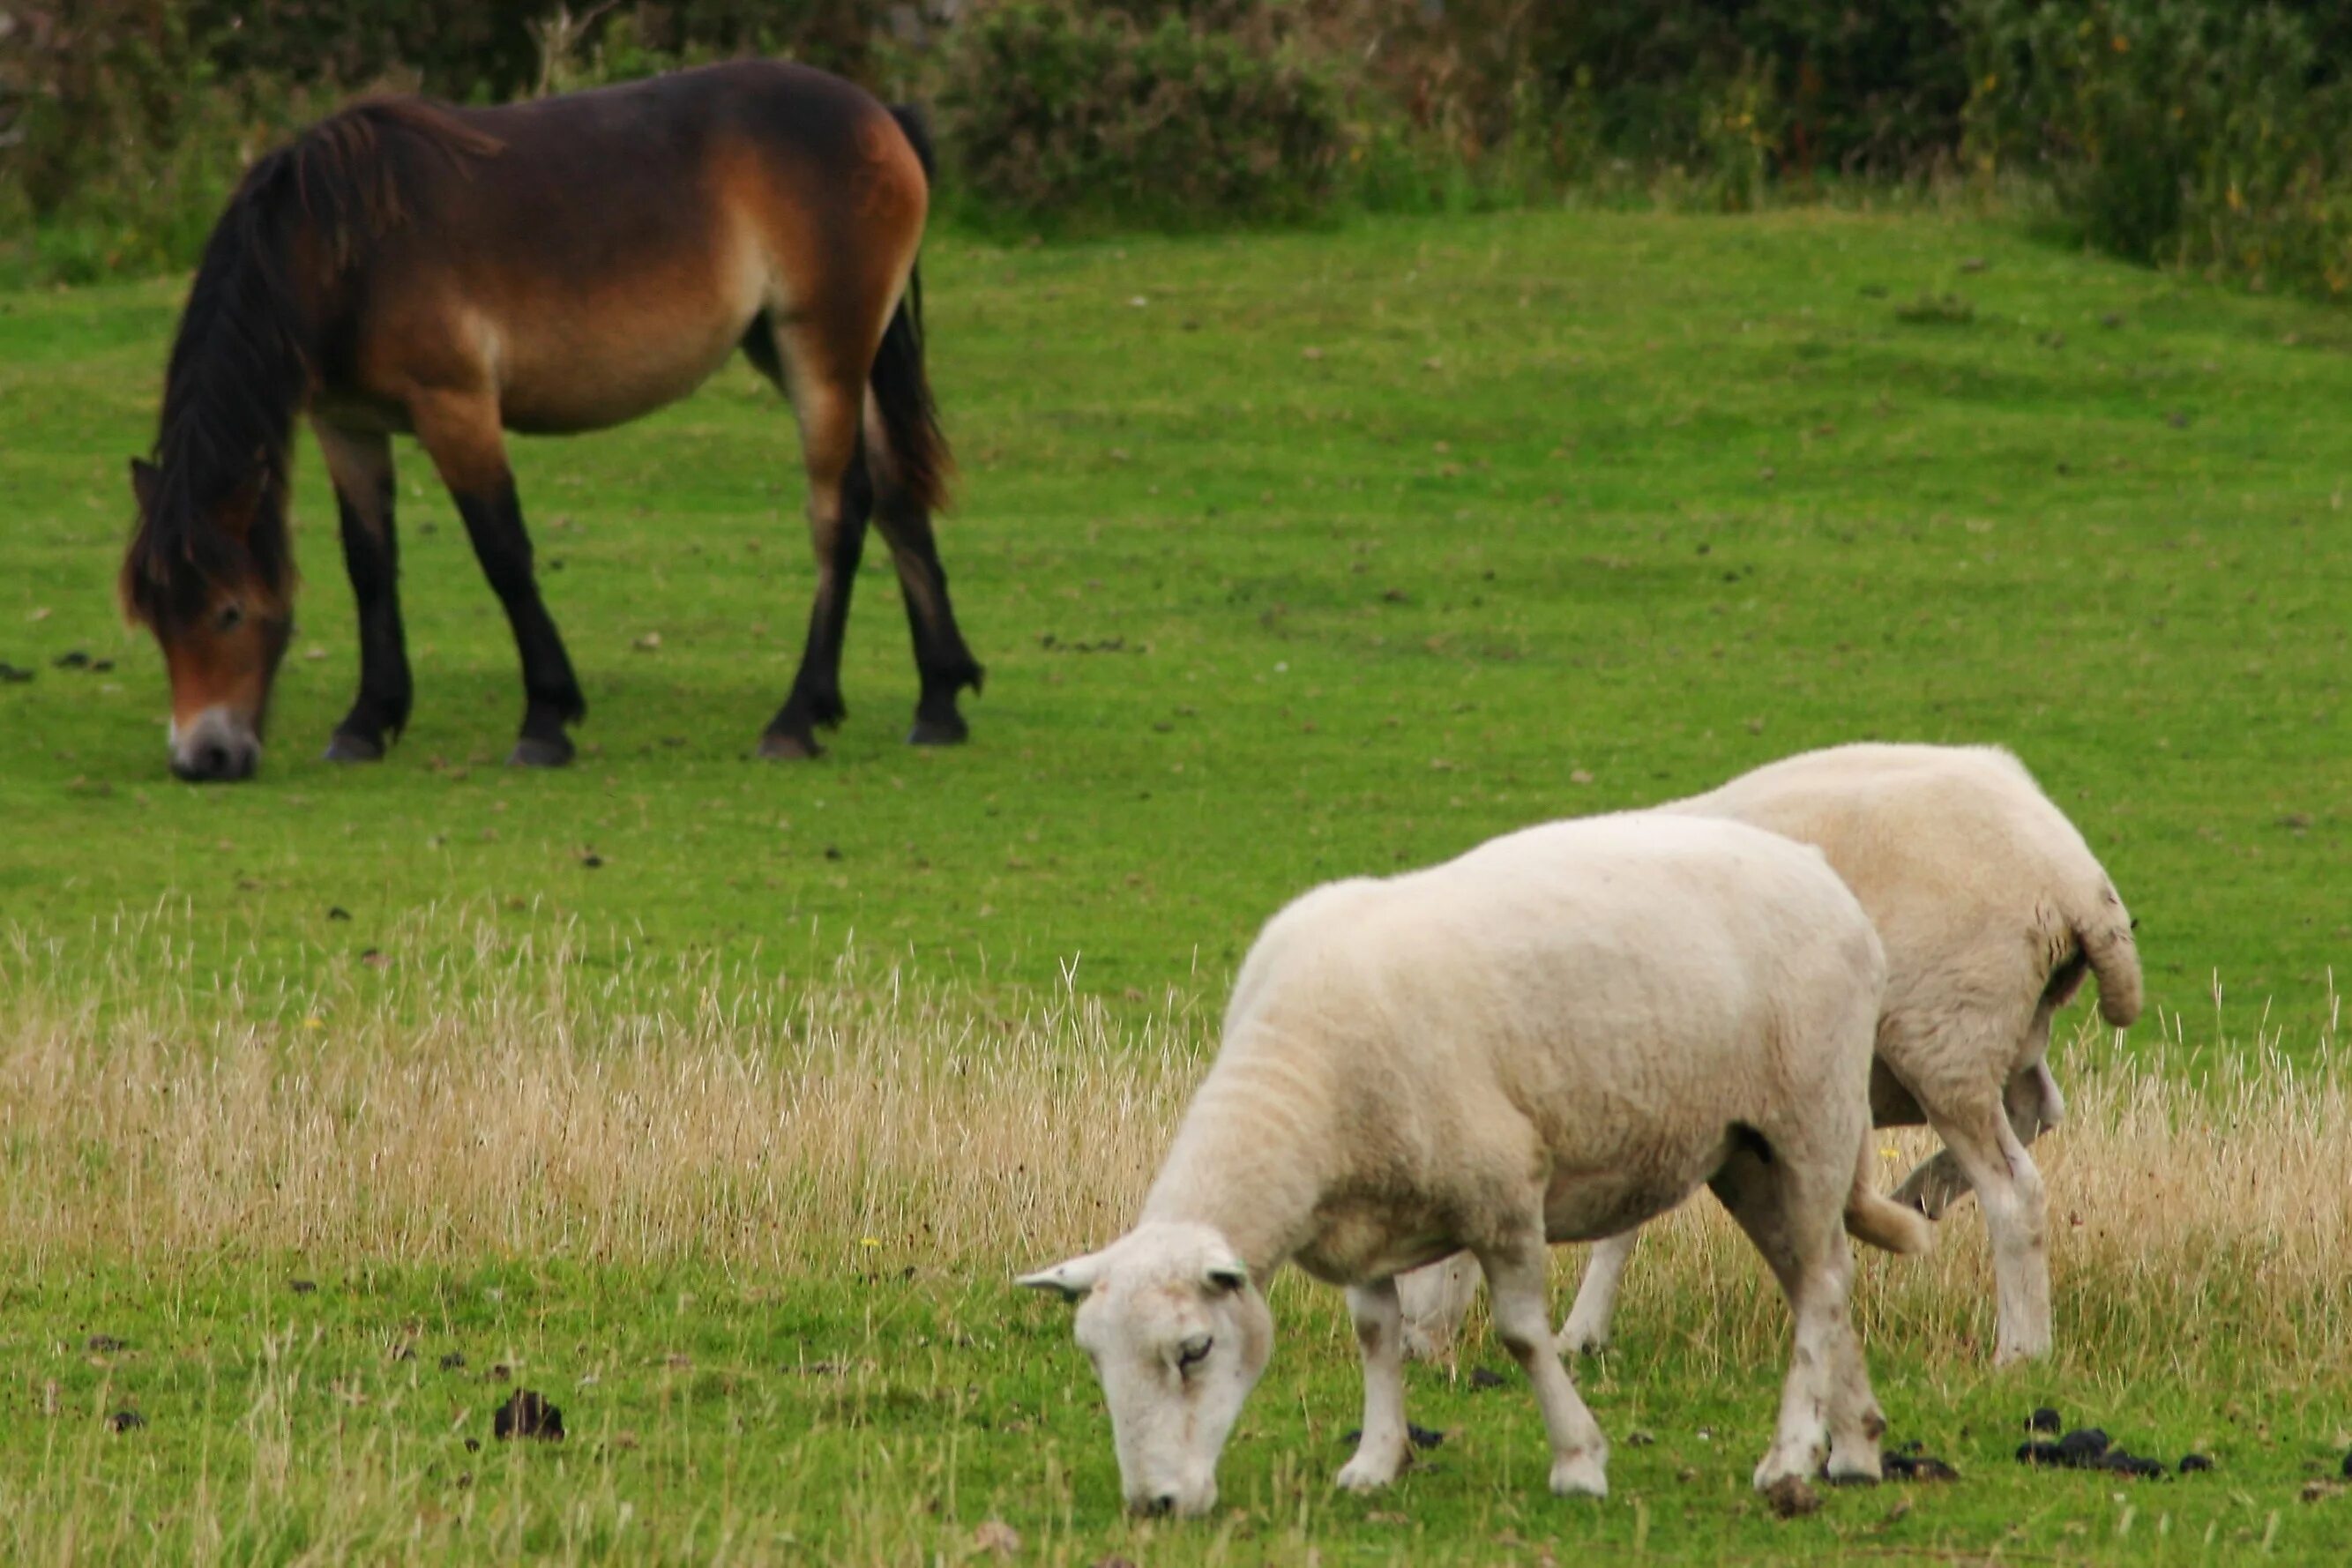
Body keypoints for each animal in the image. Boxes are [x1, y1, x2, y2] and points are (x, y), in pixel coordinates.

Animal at [116, 63, 982, 785]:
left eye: (228, 611)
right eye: (155, 616)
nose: (202, 758)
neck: (341, 245)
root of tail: (879, 114)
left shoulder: (456, 406)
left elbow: (502, 553)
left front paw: (545, 720)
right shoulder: (348, 425)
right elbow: (370, 564)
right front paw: (367, 722)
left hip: (821, 351)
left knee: (841, 511)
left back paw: (797, 719)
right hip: (801, 349)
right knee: (897, 496)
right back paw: (938, 703)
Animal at [1020, 818, 1919, 1513]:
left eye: (1194, 1350)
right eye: (1093, 1357)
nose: (1154, 1503)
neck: (1304, 1087)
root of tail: (1814, 867)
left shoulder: (1504, 1194)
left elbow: (1520, 1335)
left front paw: (1578, 1461)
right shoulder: (1361, 1224)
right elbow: (1376, 1336)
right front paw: (1376, 1460)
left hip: (1810, 1117)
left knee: (1822, 1284)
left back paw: (1790, 1454)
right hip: (1742, 1151)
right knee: (1813, 1276)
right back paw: (1855, 1445)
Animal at [1392, 743, 2154, 1363]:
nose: (1410, 1347)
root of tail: (2075, 880)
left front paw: (1575, 1332)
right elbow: (1625, 1226)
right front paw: (1585, 1334)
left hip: (1944, 1038)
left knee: (2014, 1192)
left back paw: (2019, 1352)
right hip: (2000, 1030)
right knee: (2037, 1110)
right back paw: (1918, 1196)